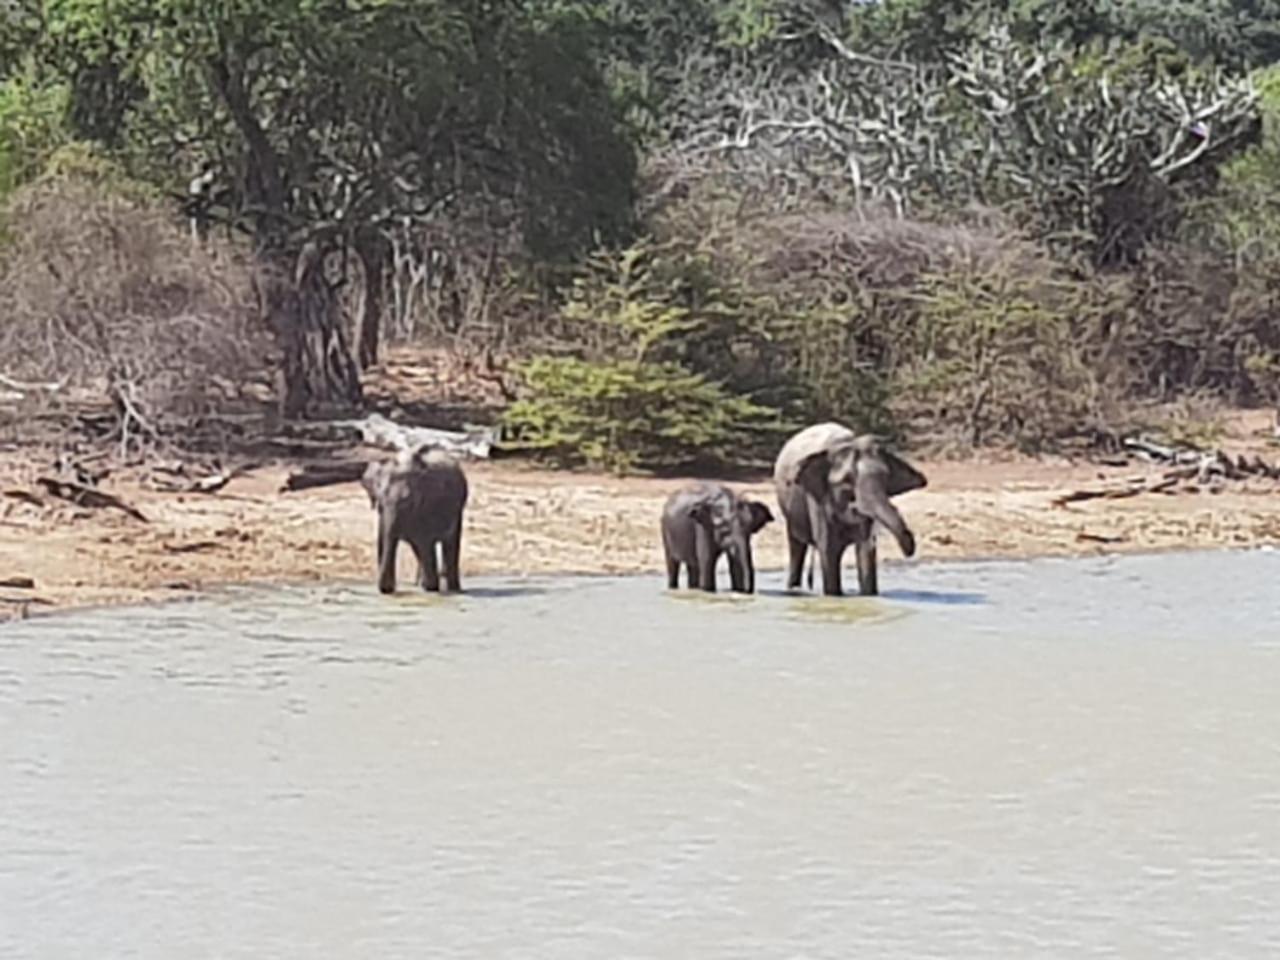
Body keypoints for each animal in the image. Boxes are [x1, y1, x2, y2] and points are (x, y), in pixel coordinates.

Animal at [360, 442, 471, 593]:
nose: (388, 589)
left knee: (449, 542)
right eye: (380, 503)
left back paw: (450, 588)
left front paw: (431, 587)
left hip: (458, 510)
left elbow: (423, 542)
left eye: (407, 500)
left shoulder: (426, 506)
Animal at [768, 422, 921, 599]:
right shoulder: (817, 499)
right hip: (789, 508)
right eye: (847, 481)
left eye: (886, 478)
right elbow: (829, 549)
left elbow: (865, 553)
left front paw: (869, 596)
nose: (909, 549)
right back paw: (793, 589)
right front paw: (834, 596)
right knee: (796, 546)